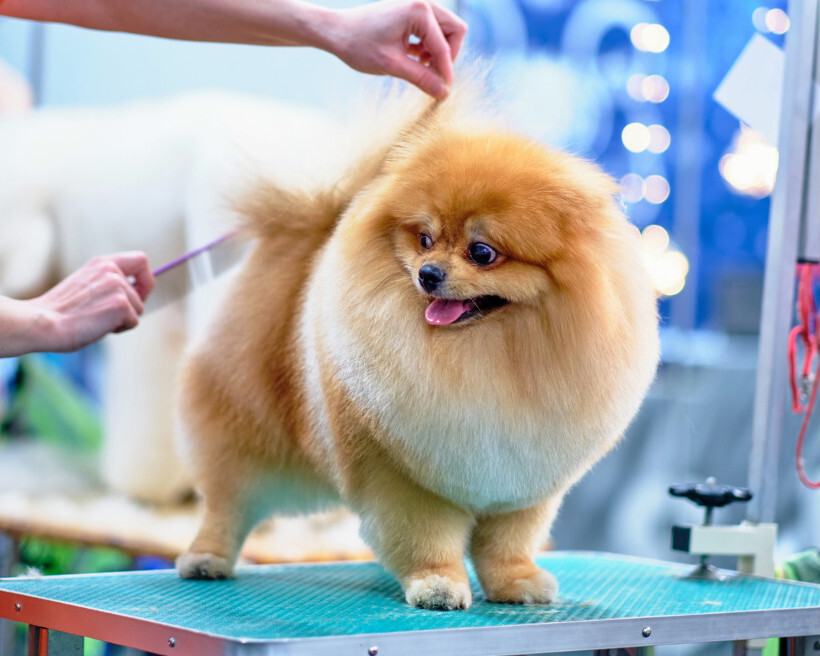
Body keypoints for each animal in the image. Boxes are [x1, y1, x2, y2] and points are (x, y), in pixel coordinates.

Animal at [175, 78, 660, 608]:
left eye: (482, 252)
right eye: (424, 239)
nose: (428, 274)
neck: (491, 354)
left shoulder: (524, 483)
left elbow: (508, 543)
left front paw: (517, 583)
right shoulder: (406, 480)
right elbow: (426, 538)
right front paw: (438, 585)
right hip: (246, 429)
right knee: (227, 503)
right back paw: (206, 559)